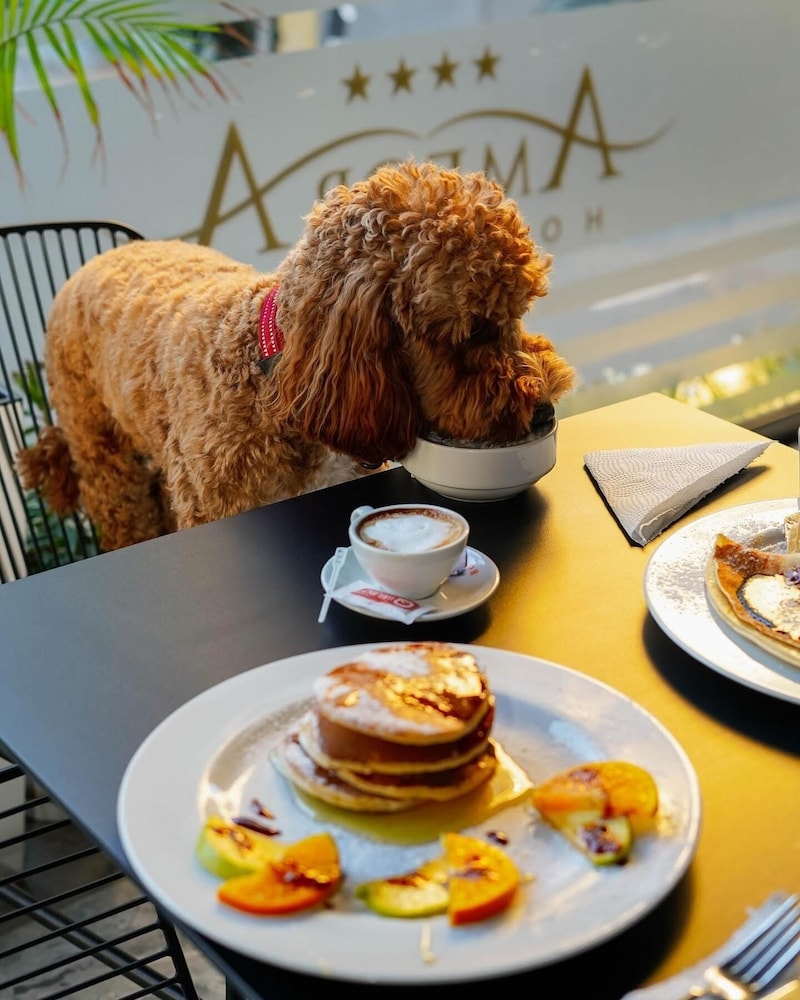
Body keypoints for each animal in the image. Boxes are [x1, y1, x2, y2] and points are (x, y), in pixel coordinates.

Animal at [17, 160, 575, 551]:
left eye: (518, 312)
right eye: (475, 328)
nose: (544, 409)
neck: (274, 376)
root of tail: (96, 259)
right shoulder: (215, 501)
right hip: (101, 453)